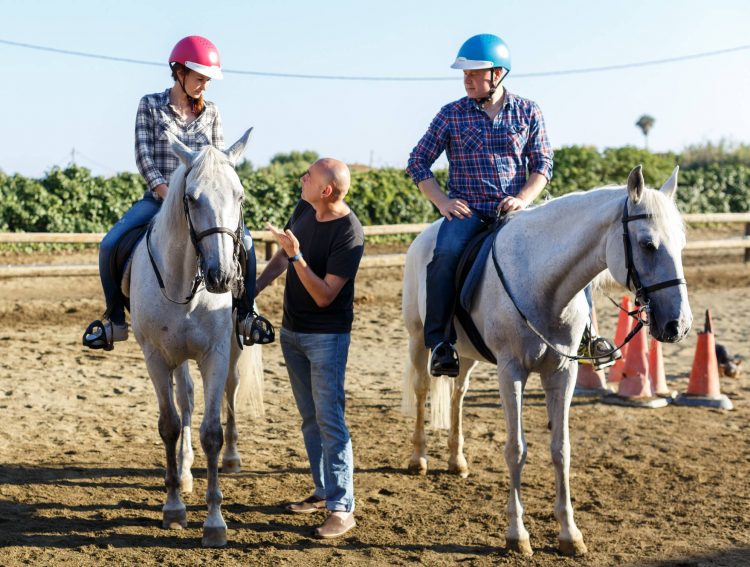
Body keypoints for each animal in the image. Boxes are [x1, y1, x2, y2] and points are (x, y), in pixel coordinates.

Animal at [129, 131, 268, 548]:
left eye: (240, 196)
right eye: (191, 198)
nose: (222, 276)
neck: (183, 285)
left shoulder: (216, 354)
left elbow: (211, 432)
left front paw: (215, 522)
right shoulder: (157, 358)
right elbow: (170, 425)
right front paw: (174, 506)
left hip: (234, 351)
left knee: (230, 393)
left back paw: (233, 458)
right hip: (177, 357)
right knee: (186, 400)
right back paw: (186, 471)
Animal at [406, 166, 692, 556]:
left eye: (681, 244)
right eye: (648, 244)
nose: (678, 325)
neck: (542, 283)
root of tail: (425, 235)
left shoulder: (562, 373)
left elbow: (561, 450)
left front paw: (570, 534)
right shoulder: (511, 371)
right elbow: (516, 449)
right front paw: (517, 534)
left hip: (464, 354)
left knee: (458, 396)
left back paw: (456, 461)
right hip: (417, 340)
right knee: (421, 391)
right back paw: (418, 458)